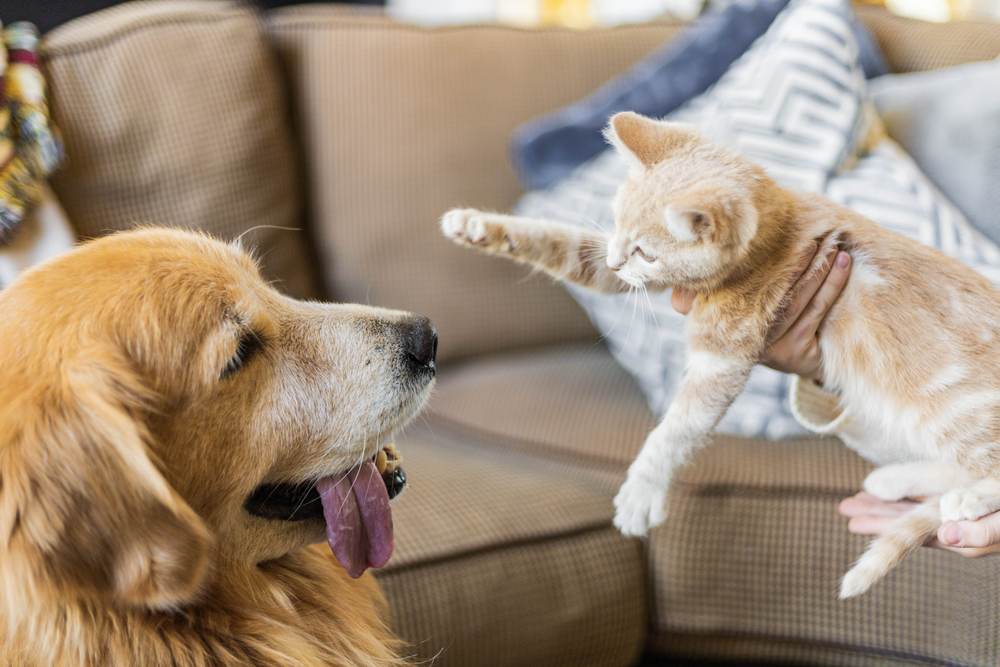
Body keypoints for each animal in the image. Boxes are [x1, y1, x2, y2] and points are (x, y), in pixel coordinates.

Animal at [442, 112, 1000, 596]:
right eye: (616, 224)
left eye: (646, 252)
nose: (621, 259)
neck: (780, 228)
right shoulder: (609, 269)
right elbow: (563, 244)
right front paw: (476, 224)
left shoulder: (721, 361)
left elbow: (675, 430)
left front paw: (643, 491)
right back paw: (899, 478)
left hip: (951, 409)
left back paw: (966, 496)